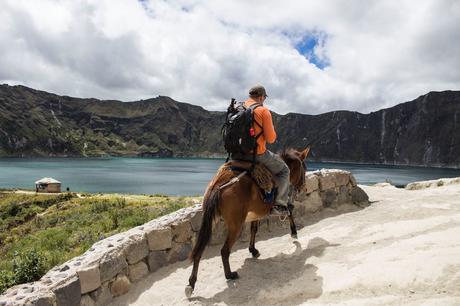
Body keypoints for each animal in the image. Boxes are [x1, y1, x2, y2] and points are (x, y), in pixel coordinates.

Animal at [185, 146, 310, 296]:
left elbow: (254, 229)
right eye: (304, 169)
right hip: (235, 226)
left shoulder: (255, 213)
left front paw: (253, 250)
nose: (305, 189)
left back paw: (191, 283)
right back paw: (230, 274)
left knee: (199, 250)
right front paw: (294, 232)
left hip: (211, 221)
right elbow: (289, 210)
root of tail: (219, 184)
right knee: (224, 250)